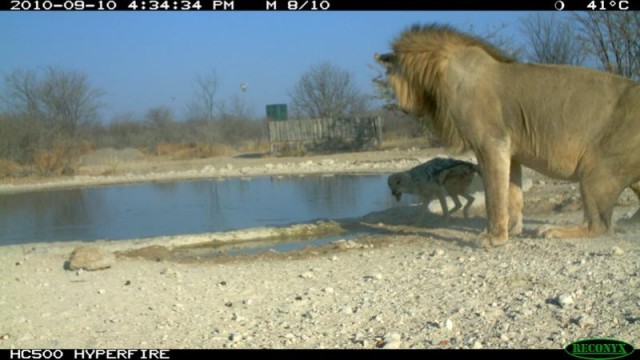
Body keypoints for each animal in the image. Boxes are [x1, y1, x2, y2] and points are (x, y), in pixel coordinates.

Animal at [376, 23, 640, 246]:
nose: (402, 107)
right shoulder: (512, 152)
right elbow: (513, 195)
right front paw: (513, 230)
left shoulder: (491, 144)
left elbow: (494, 196)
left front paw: (494, 238)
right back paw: (631, 221)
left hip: (597, 172)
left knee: (599, 225)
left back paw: (554, 231)